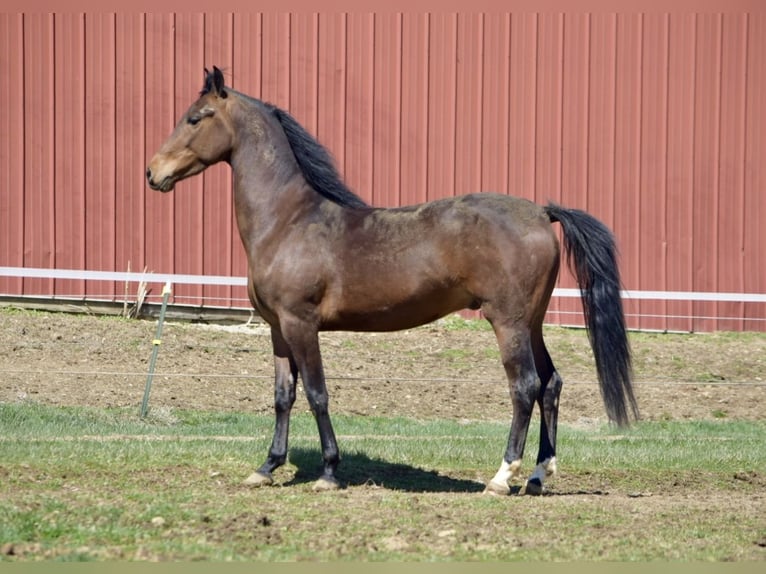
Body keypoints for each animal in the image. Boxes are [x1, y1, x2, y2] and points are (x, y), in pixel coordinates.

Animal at [147, 66, 638, 495]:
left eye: (195, 118)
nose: (153, 172)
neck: (290, 221)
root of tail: (540, 211)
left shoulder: (301, 325)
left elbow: (317, 393)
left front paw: (329, 471)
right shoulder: (277, 329)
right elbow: (283, 396)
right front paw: (267, 467)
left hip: (509, 323)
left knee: (526, 388)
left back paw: (502, 477)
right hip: (531, 323)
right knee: (551, 384)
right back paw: (537, 475)